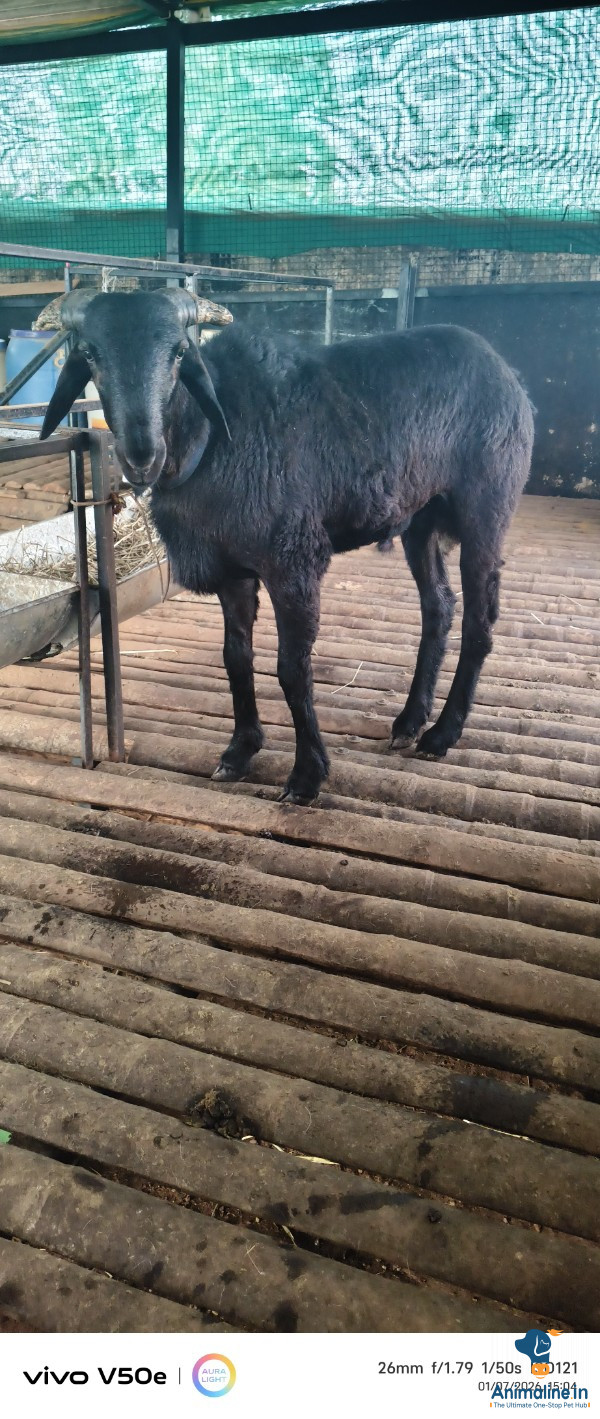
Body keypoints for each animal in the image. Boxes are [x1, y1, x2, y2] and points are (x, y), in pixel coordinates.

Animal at [41, 288, 534, 803]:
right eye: (90, 354)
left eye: (178, 351)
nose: (141, 456)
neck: (210, 438)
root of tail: (501, 366)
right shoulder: (231, 570)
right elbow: (235, 658)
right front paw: (239, 751)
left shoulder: (292, 561)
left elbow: (292, 670)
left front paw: (306, 775)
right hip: (421, 519)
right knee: (438, 607)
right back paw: (409, 722)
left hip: (487, 506)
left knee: (480, 621)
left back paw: (443, 733)